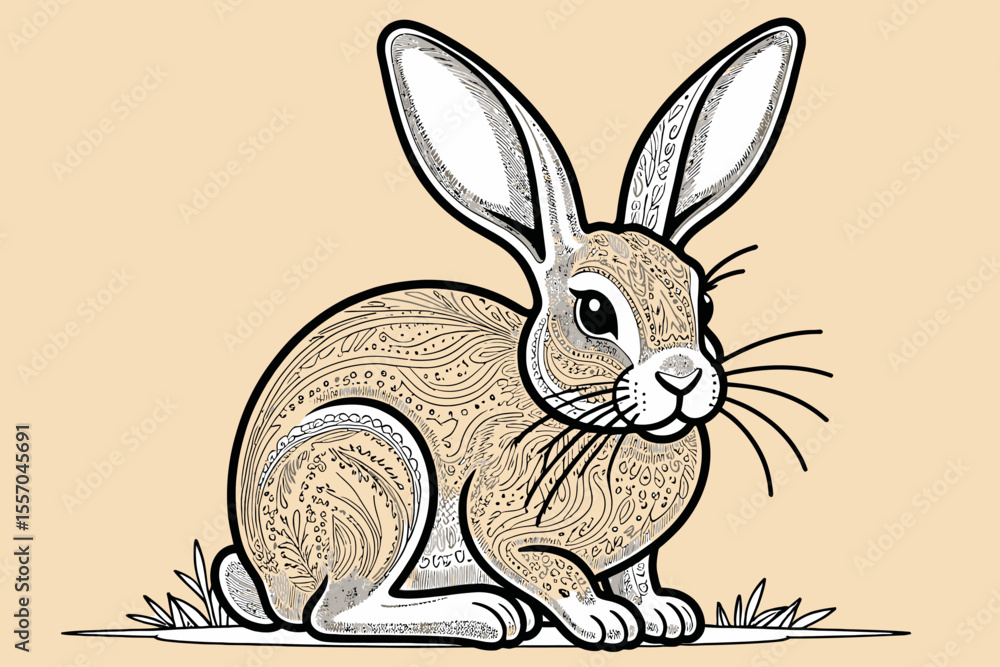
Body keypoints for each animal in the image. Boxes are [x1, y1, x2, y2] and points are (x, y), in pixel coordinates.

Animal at [212, 18, 806, 650]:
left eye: (704, 300)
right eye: (595, 312)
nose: (682, 377)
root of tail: (268, 575)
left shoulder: (633, 558)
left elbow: (637, 574)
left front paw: (665, 615)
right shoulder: (500, 524)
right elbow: (548, 567)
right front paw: (604, 620)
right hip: (367, 470)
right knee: (334, 613)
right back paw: (485, 612)